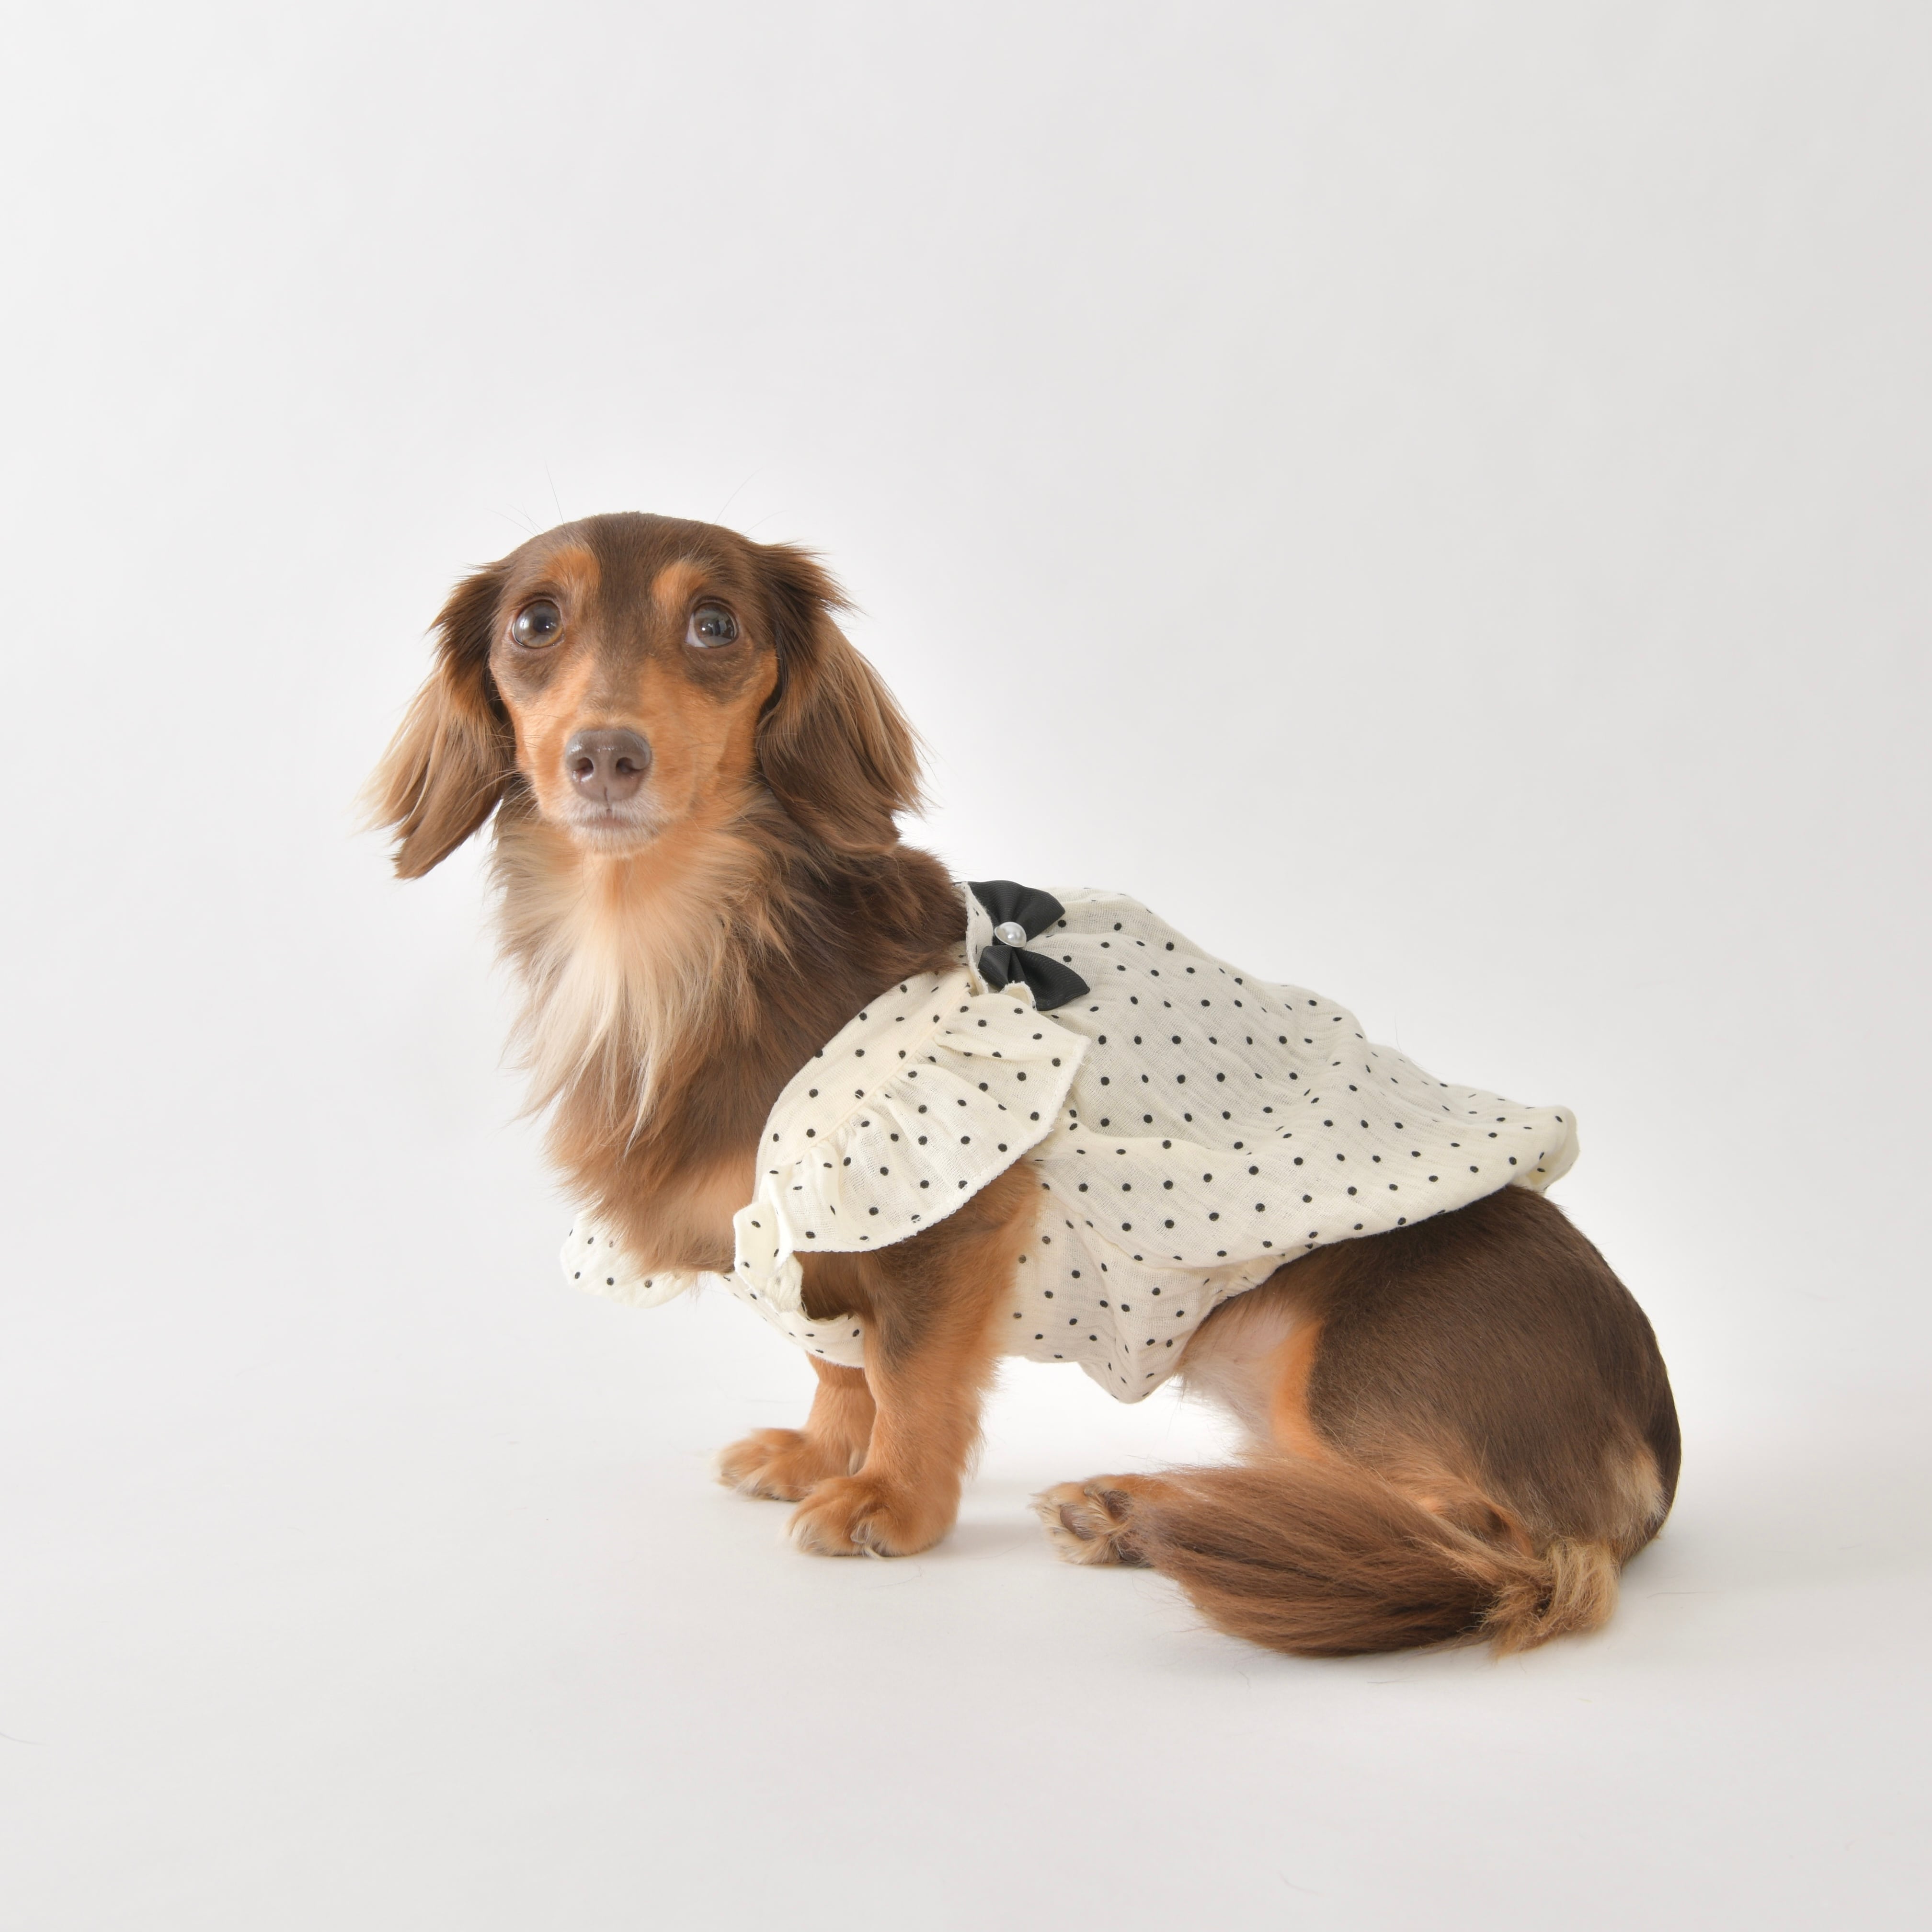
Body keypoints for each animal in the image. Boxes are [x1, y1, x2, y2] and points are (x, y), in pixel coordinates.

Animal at [368, 511, 1679, 1657]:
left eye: (714, 625)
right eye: (536, 622)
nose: (604, 757)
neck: (682, 938)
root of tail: (1650, 1452)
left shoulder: (943, 1205)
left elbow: (906, 1375)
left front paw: (890, 1501)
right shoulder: (791, 1224)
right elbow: (834, 1362)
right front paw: (822, 1453)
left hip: (1357, 1371)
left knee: (1461, 1542)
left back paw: (1155, 1520)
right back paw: (1146, 1511)